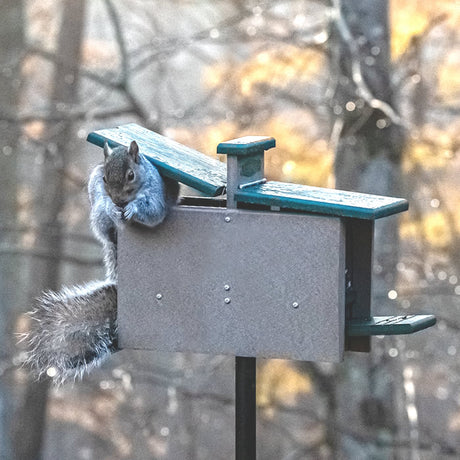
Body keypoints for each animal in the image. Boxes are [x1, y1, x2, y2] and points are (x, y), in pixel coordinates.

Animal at [23, 141, 179, 384]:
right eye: (105, 178)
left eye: (131, 175)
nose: (118, 201)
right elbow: (105, 204)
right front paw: (113, 207)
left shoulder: (156, 195)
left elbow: (152, 210)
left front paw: (134, 208)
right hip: (97, 215)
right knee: (104, 226)